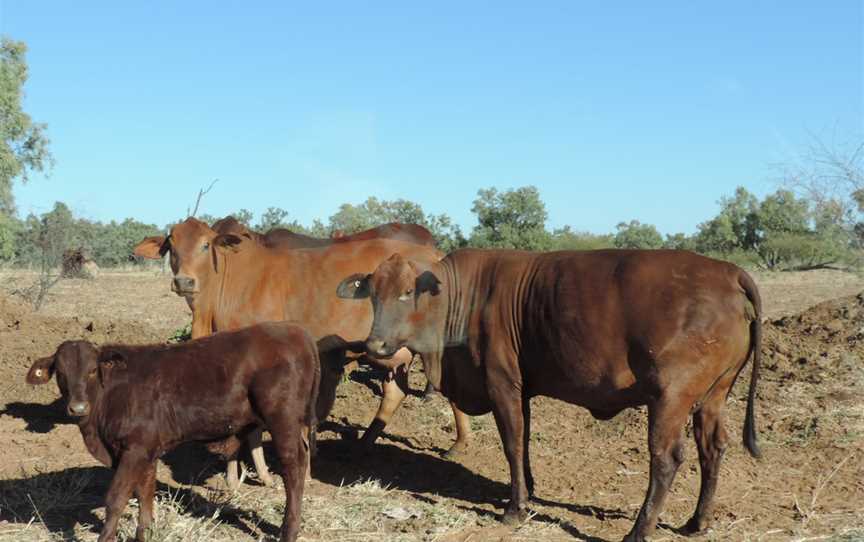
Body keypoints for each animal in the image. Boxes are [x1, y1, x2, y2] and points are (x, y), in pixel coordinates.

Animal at [27, 324, 324, 542]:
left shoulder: (134, 449)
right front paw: (144, 533)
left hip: (283, 420)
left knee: (293, 466)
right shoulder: (146, 449)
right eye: (60, 373)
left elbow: (116, 498)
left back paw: (289, 531)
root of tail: (296, 331)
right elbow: (145, 493)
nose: (77, 407)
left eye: (91, 371)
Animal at [133, 220, 472, 488]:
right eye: (171, 245)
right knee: (396, 391)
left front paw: (251, 474)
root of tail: (437, 255)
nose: (184, 281)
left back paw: (459, 443)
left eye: (206, 245)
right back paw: (363, 444)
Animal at [338, 251, 764, 542]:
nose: (375, 345)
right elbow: (524, 441)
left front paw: (515, 508)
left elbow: (512, 443)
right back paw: (697, 522)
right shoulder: (522, 388)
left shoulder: (502, 383)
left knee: (666, 459)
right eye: (372, 294)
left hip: (670, 398)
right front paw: (527, 491)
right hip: (713, 396)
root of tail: (727, 271)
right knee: (712, 448)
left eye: (408, 292)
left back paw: (639, 531)